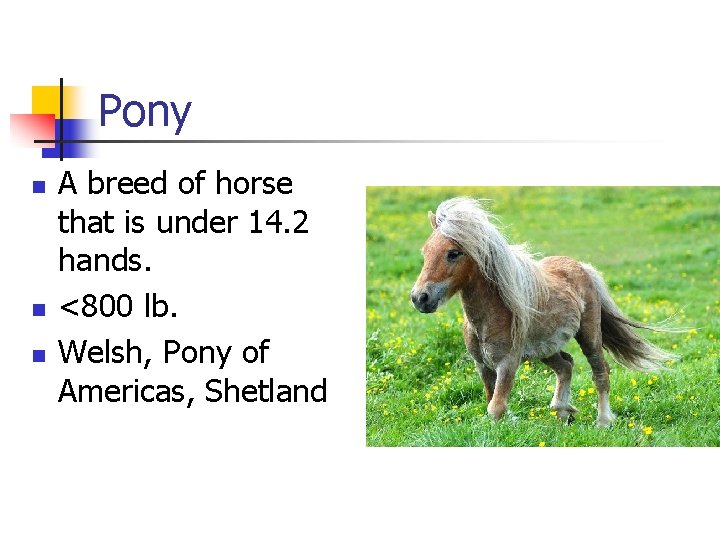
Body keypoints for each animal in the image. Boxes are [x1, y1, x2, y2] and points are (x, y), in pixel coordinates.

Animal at [410, 197, 675, 426]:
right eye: (425, 252)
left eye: (453, 253)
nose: (419, 298)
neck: (490, 317)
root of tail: (582, 267)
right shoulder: (482, 365)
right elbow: (491, 401)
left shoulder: (508, 363)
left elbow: (496, 408)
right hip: (546, 348)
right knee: (566, 365)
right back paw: (563, 412)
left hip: (589, 335)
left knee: (600, 372)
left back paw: (602, 421)